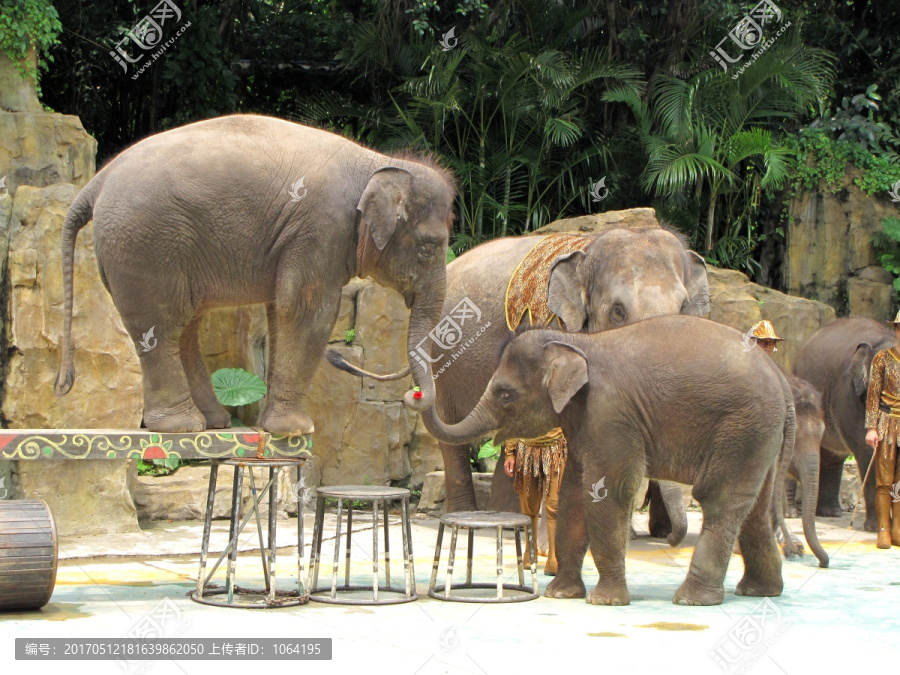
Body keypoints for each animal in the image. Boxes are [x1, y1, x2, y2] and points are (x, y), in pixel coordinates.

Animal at [52, 114, 454, 436]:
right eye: (429, 247)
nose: (414, 395)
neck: (380, 162)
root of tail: (98, 180)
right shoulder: (321, 229)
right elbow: (308, 311)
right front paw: (297, 430)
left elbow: (281, 310)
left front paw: (276, 427)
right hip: (145, 244)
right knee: (162, 325)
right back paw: (183, 426)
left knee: (185, 327)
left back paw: (213, 422)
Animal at [418, 316, 792, 608]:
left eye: (505, 393)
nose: (415, 393)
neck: (576, 341)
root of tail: (782, 378)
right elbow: (573, 493)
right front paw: (560, 594)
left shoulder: (609, 413)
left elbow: (608, 491)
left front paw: (605, 601)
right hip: (760, 435)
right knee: (756, 509)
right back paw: (760, 592)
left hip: (743, 426)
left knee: (719, 499)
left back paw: (693, 599)